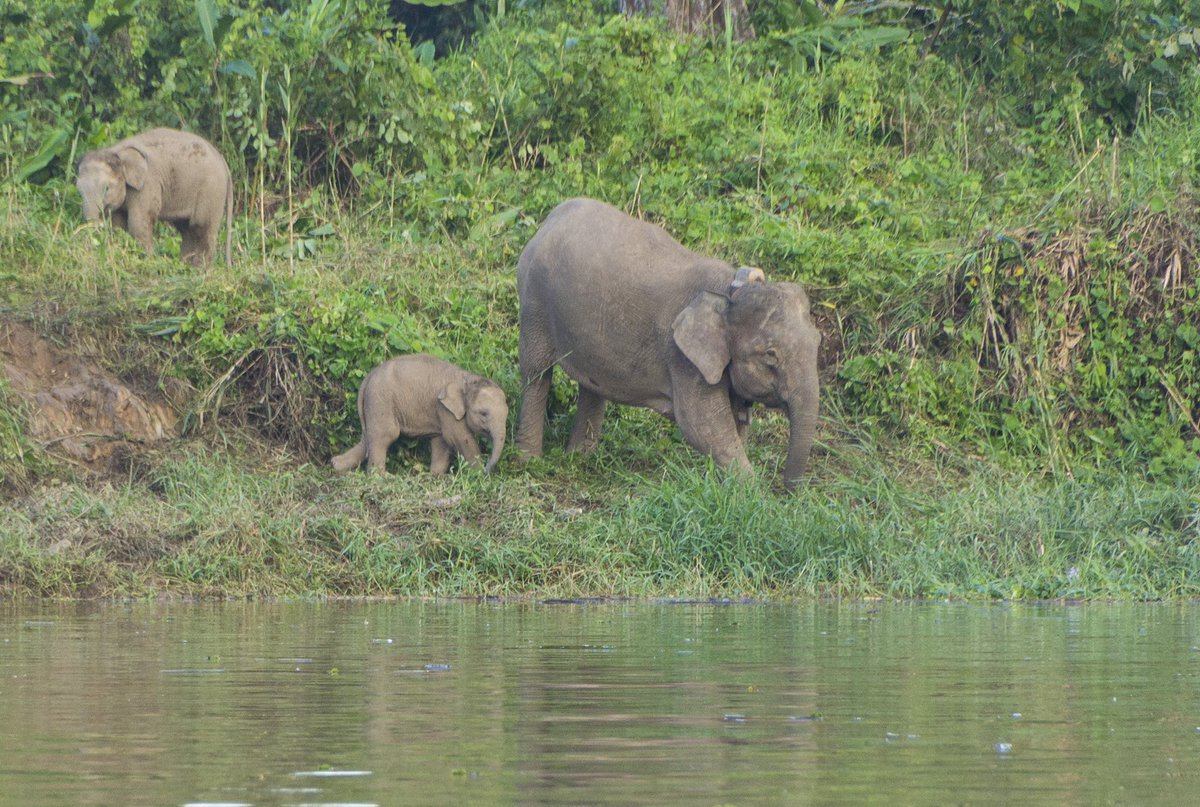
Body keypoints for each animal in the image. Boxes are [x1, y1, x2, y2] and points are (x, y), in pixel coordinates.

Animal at [75, 127, 234, 266]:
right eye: (79, 189)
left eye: (107, 188)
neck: (117, 152)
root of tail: (223, 161)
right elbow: (118, 224)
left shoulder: (148, 183)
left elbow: (139, 223)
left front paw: (147, 261)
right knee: (187, 230)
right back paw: (184, 266)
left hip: (211, 191)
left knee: (202, 227)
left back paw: (200, 270)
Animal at [331, 354, 508, 476]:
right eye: (484, 413)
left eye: (507, 414)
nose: (487, 470)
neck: (467, 378)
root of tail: (367, 378)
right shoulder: (445, 409)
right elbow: (459, 438)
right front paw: (478, 475)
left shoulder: (440, 411)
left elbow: (441, 440)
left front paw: (436, 475)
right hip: (380, 401)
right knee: (384, 436)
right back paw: (382, 477)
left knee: (367, 438)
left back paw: (336, 465)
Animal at [515, 198, 820, 489]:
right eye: (770, 355)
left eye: (817, 341)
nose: (788, 493)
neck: (732, 289)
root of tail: (552, 216)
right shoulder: (683, 359)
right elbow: (703, 426)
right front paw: (752, 493)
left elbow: (734, 425)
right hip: (534, 303)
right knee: (536, 373)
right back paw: (530, 462)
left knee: (590, 383)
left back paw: (578, 459)